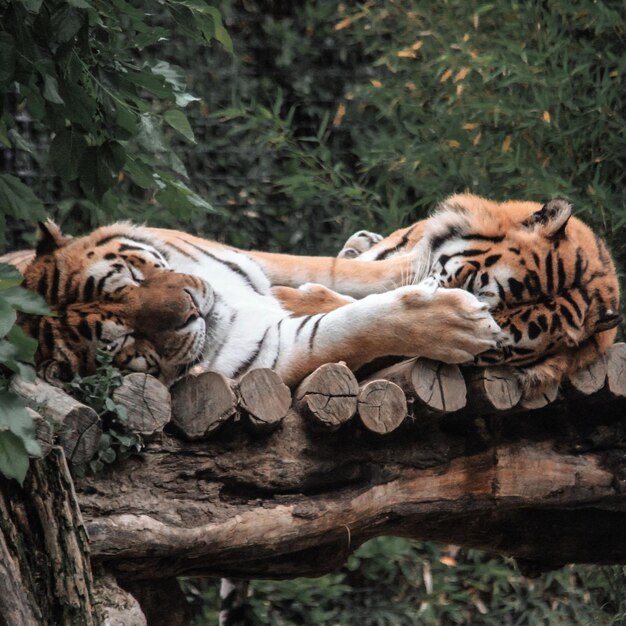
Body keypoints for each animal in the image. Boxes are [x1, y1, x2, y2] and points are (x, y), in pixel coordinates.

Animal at [6, 217, 498, 388]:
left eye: (132, 275)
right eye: (125, 339)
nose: (191, 309)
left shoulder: (258, 261)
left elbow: (347, 272)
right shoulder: (275, 353)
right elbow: (353, 327)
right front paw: (461, 323)